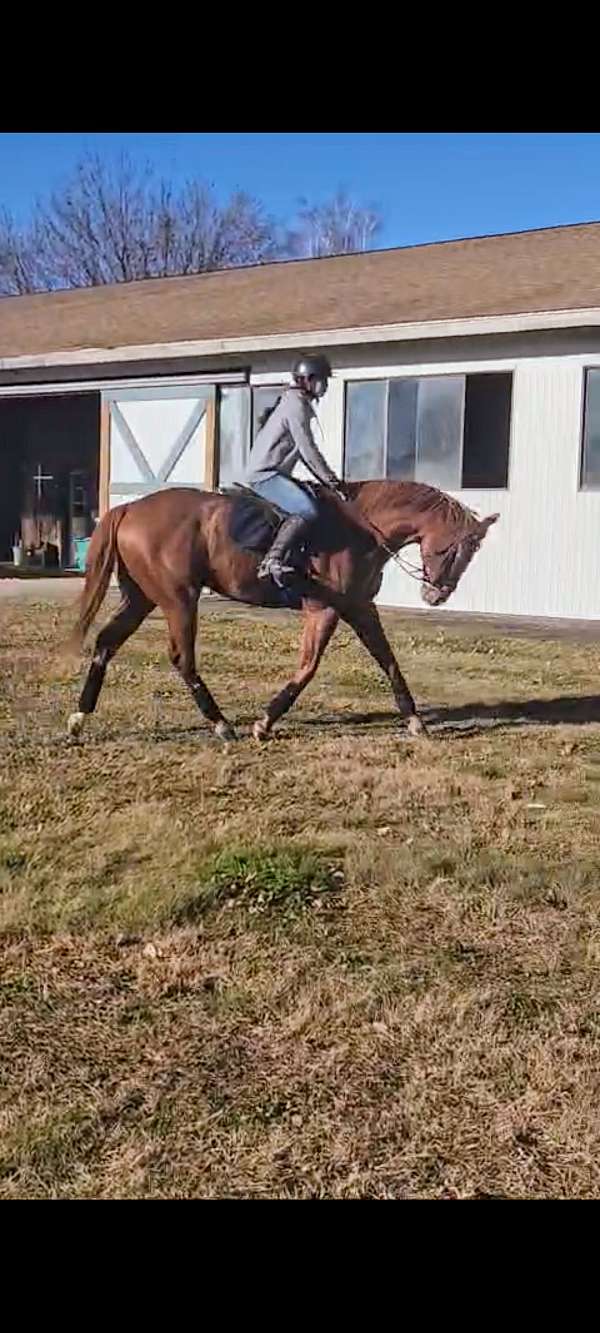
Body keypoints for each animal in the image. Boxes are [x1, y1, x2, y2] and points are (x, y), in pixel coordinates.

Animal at [66, 481, 498, 744]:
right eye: (457, 549)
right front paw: (264, 722)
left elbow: (388, 661)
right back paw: (222, 726)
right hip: (179, 599)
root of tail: (130, 508)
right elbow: (308, 667)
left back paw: (78, 720)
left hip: (144, 597)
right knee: (182, 658)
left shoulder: (359, 607)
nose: (436, 595)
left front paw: (415, 721)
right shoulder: (324, 609)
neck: (361, 528)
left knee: (106, 643)